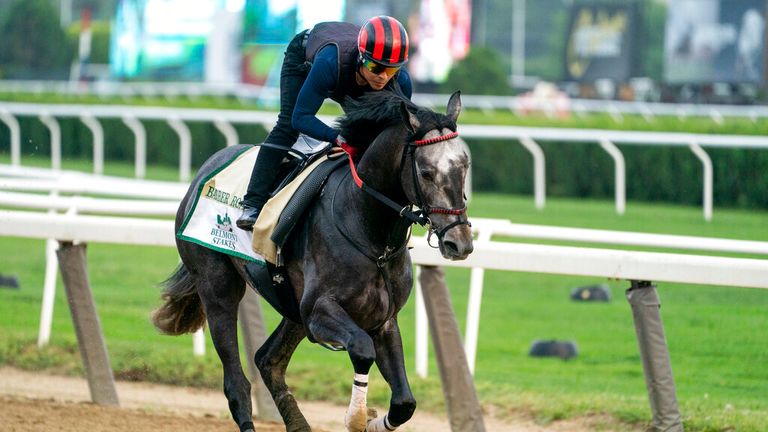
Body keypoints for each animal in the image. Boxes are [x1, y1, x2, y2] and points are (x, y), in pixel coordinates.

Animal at [152, 89, 474, 430]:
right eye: (426, 172)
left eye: (464, 166)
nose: (459, 242)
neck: (372, 236)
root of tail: (205, 170)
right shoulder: (319, 312)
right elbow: (362, 349)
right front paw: (357, 417)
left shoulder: (384, 320)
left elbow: (404, 403)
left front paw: (372, 420)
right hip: (218, 286)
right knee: (236, 382)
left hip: (292, 307)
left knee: (268, 360)